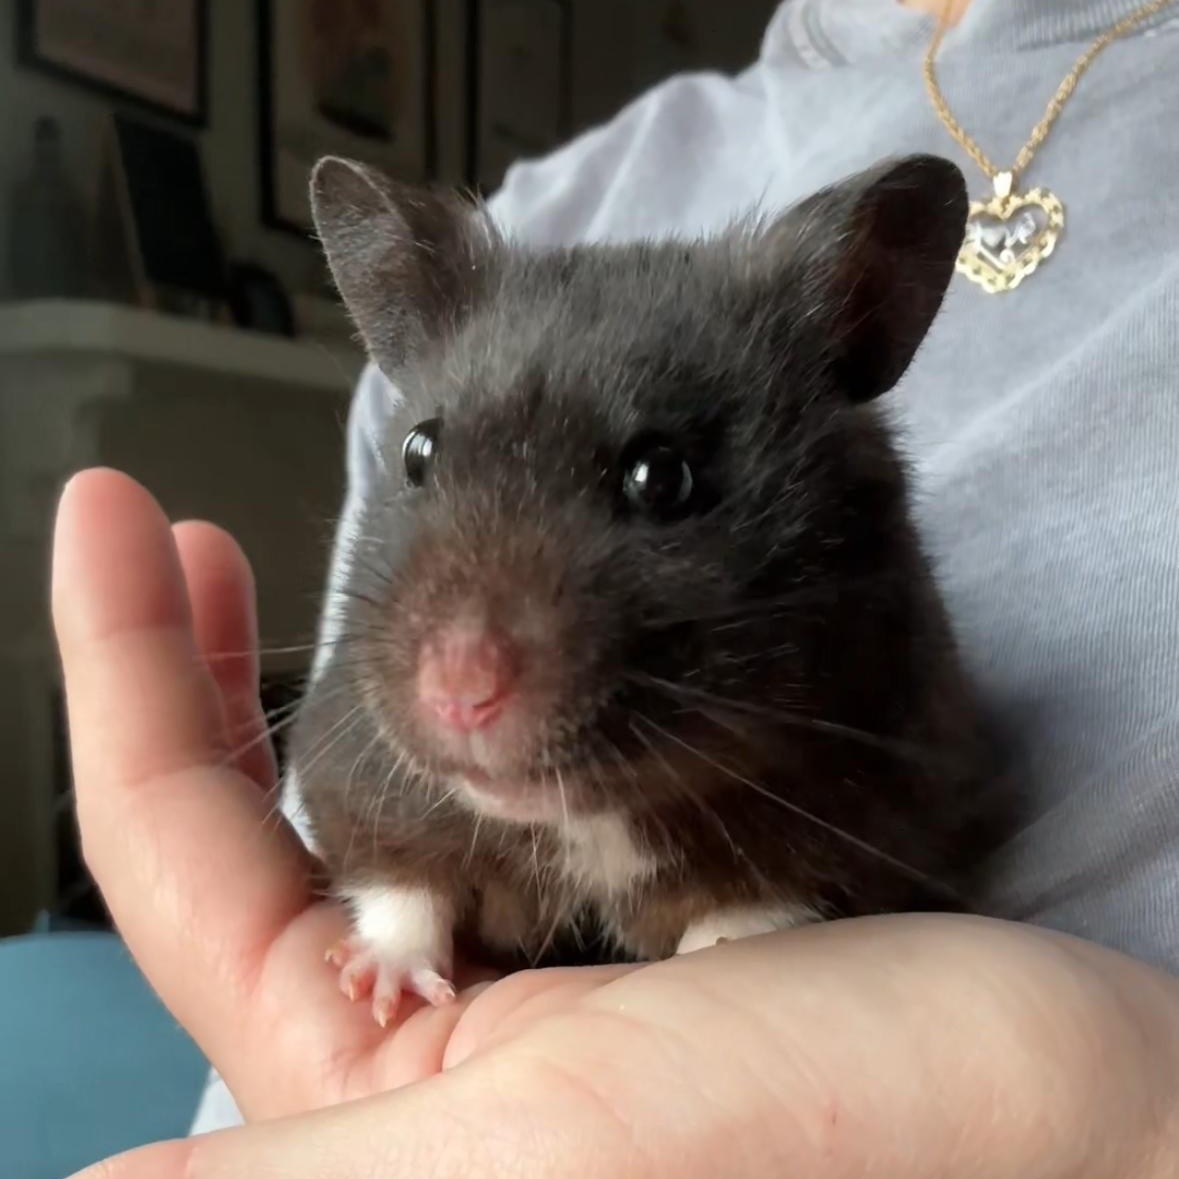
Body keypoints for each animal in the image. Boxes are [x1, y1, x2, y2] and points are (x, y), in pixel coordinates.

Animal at [289, 152, 992, 1024]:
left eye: (662, 476)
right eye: (418, 452)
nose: (460, 695)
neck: (586, 815)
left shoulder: (881, 809)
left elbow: (752, 910)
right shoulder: (348, 770)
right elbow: (401, 885)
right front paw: (379, 989)